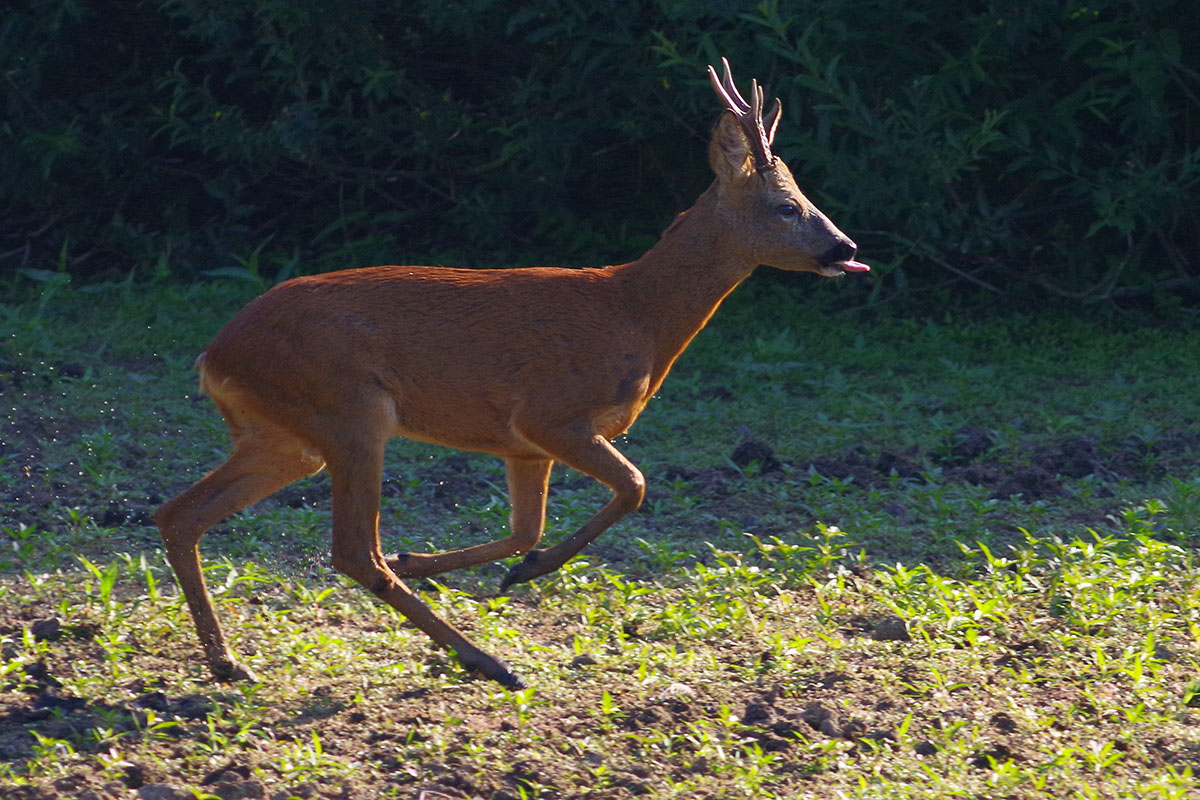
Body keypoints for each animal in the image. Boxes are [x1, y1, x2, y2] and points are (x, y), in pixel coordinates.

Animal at [157, 57, 873, 690]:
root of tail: (214, 355)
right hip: (349, 410)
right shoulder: (551, 413)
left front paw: (454, 564)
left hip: (286, 436)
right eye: (786, 206)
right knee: (352, 550)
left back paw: (229, 663)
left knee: (178, 514)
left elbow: (525, 528)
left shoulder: (522, 445)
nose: (846, 248)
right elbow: (635, 487)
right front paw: (521, 573)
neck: (635, 313)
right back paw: (488, 663)